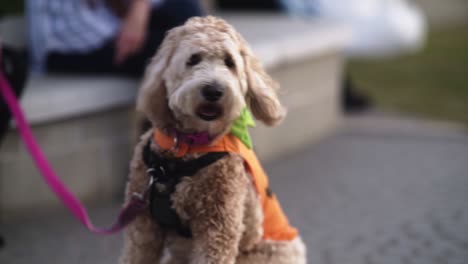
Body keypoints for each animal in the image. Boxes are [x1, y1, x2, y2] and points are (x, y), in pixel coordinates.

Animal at [119, 16, 306, 264]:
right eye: (193, 59)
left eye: (229, 62)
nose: (214, 90)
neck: (185, 147)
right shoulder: (143, 226)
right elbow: (136, 254)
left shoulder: (218, 228)